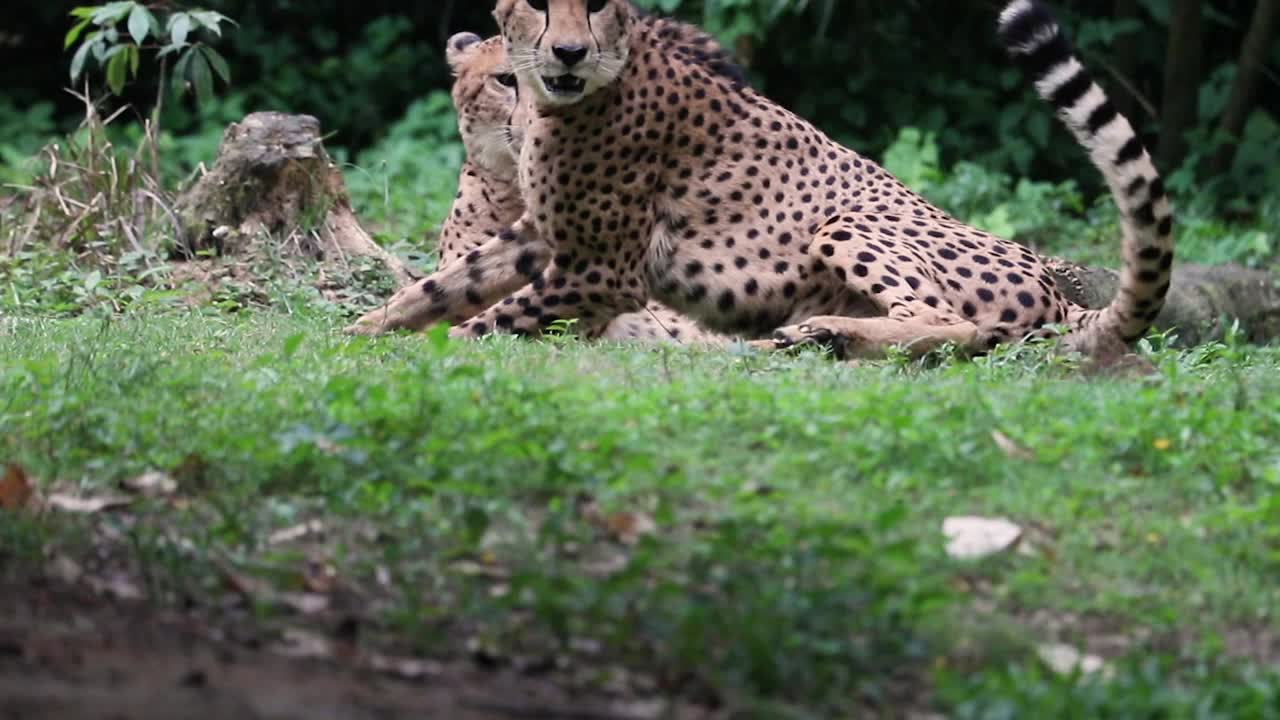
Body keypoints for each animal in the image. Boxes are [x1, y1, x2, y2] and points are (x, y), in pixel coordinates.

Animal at [435, 0, 1172, 356]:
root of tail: (1055, 287)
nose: (540, 117)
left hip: (849, 224)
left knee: (942, 320)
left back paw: (821, 335)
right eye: (504, 80)